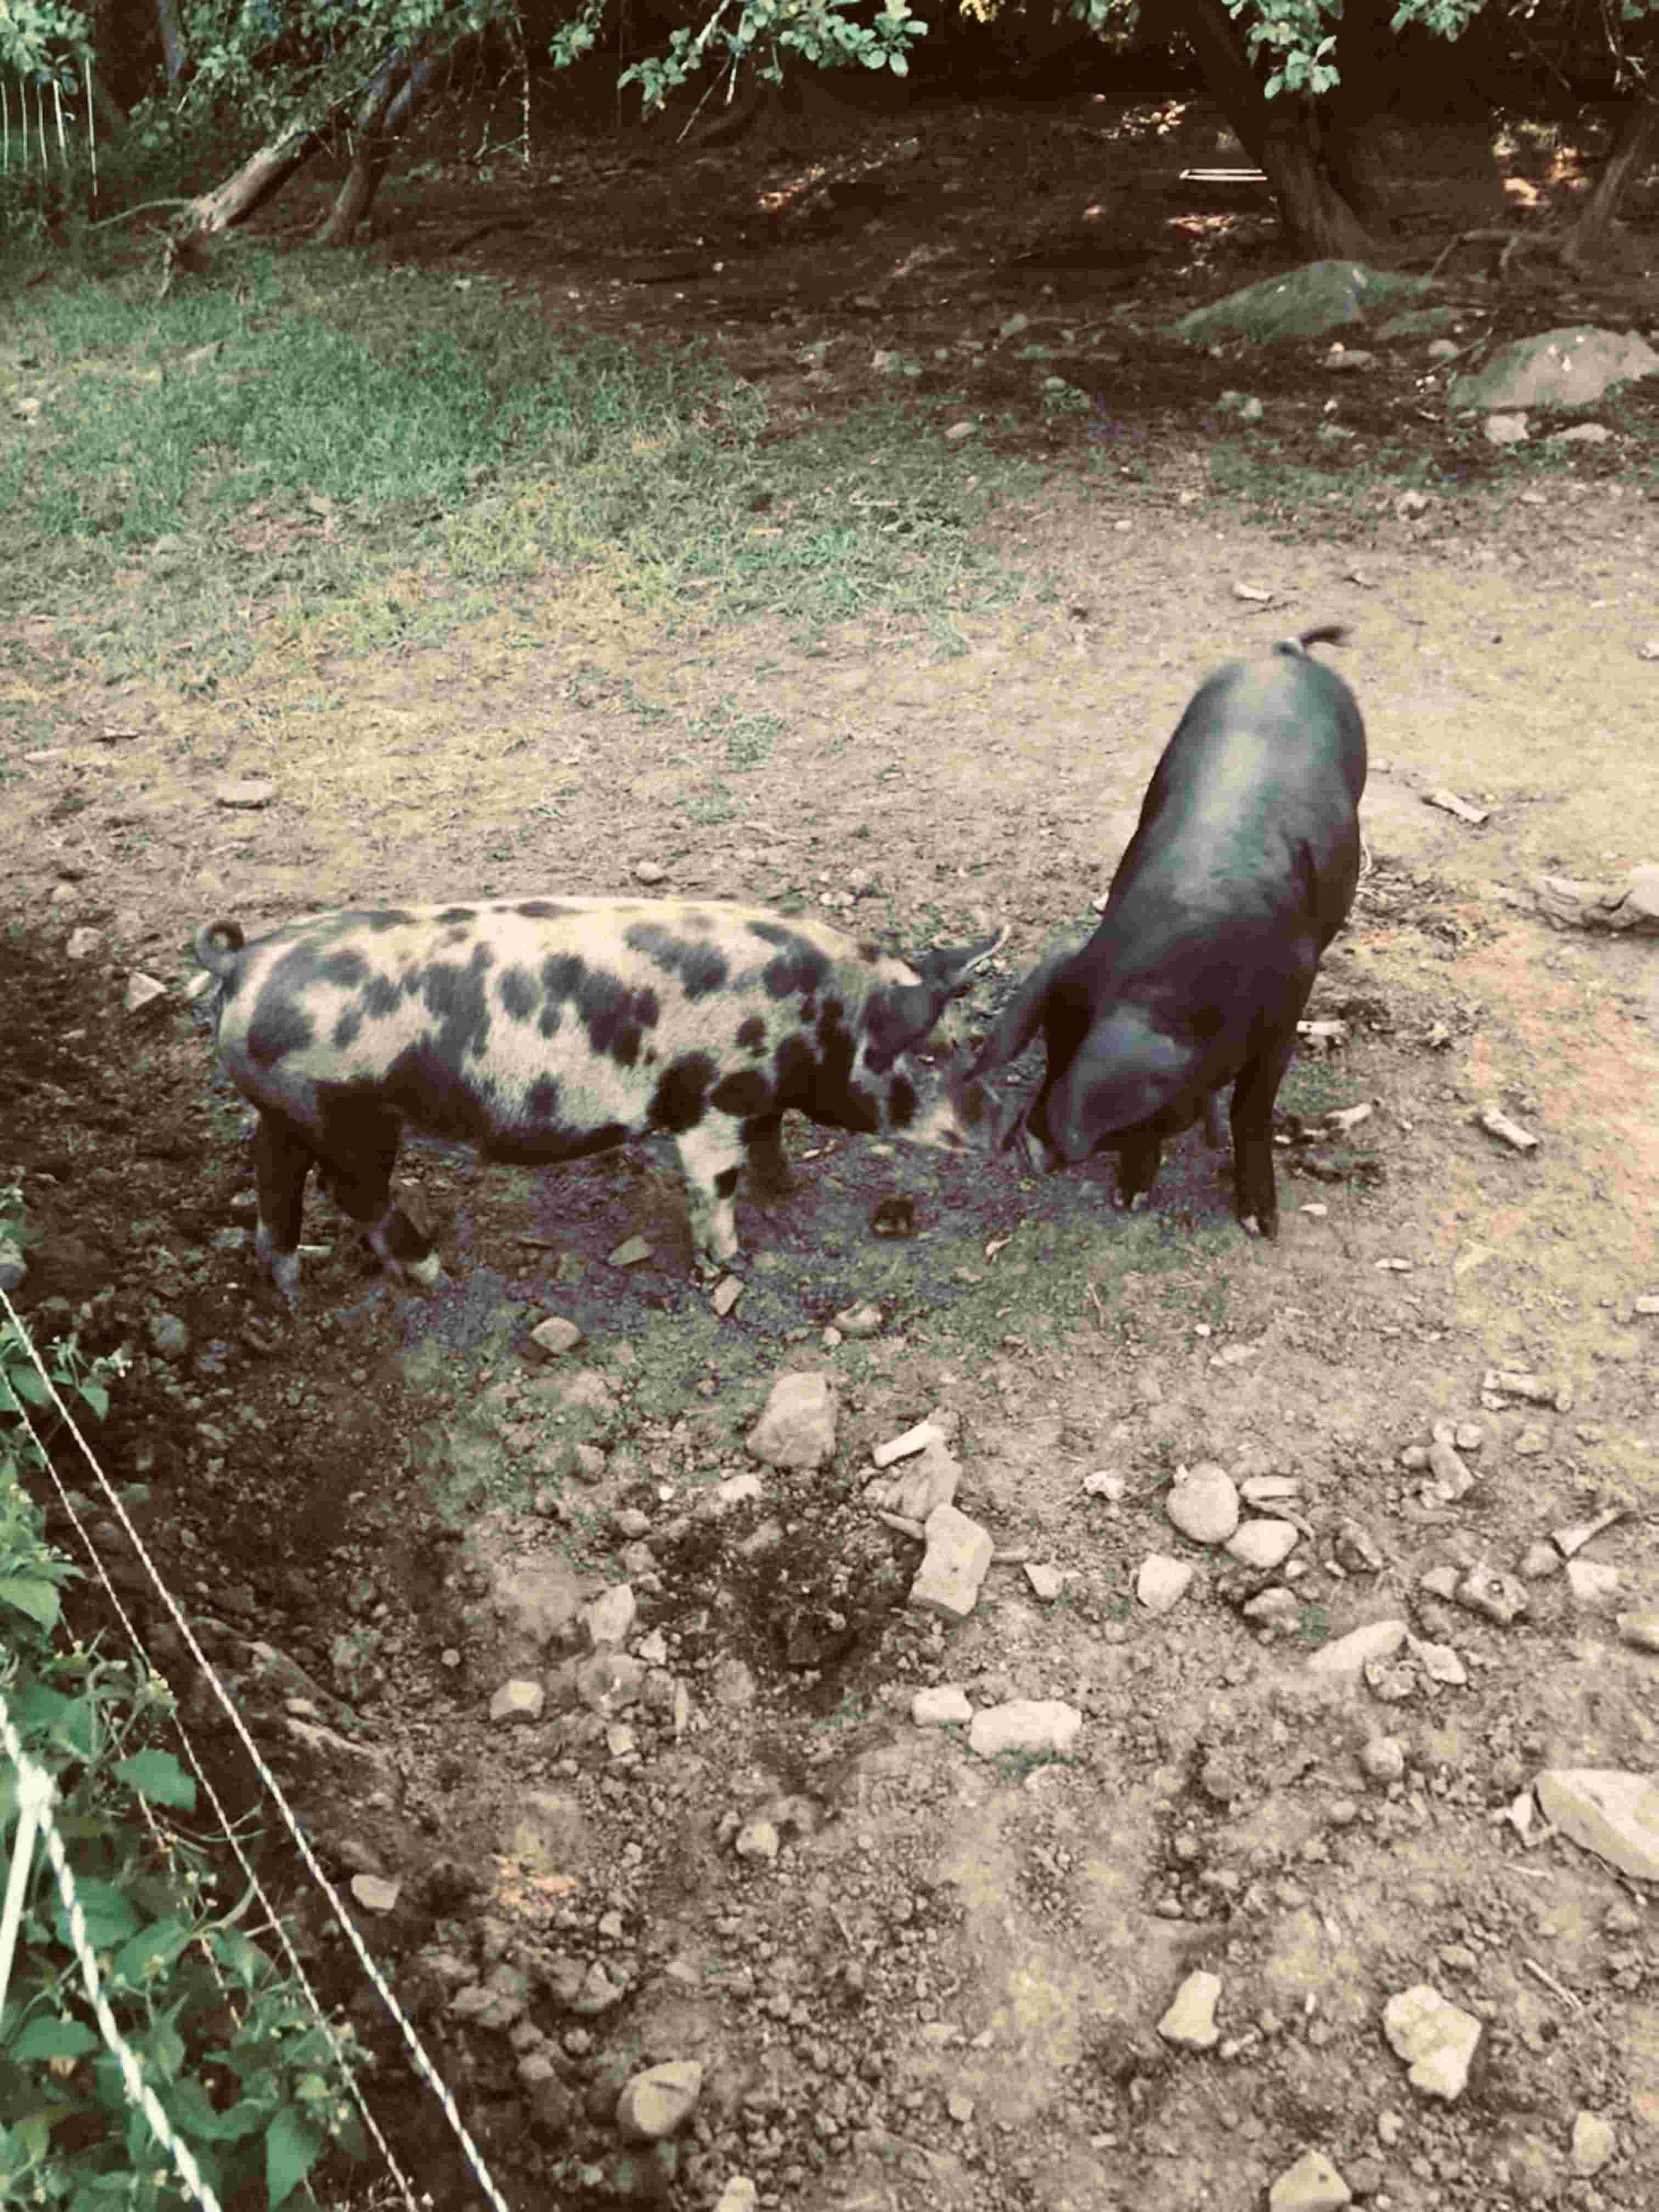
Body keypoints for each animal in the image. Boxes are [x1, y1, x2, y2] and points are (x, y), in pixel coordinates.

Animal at [193, 897, 1009, 1304]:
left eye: (970, 1037)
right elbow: (716, 1184)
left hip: (287, 1112)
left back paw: (294, 1284)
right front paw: (732, 1263)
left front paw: (788, 1188)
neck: (820, 1017)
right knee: (352, 1192)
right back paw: (435, 1276)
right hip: (348, 1115)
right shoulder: (711, 1104)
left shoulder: (759, 1099)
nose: (1005, 1130)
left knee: (274, 1179)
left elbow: (772, 1136)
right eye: (929, 1054)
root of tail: (243, 965)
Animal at [970, 625, 1366, 1237]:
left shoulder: (1290, 1003)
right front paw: (1129, 1198)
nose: (1025, 1147)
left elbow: (1252, 1108)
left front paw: (1261, 1225)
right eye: (1050, 1050)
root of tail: (1286, 657)